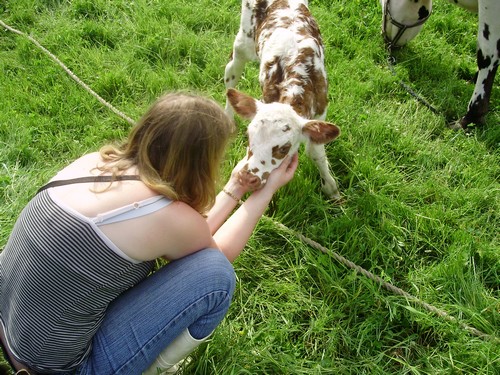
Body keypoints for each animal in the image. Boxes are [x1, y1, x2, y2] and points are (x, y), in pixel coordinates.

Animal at [225, 0, 342, 201]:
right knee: (231, 72)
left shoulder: (320, 111)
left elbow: (315, 152)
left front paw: (331, 189)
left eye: (284, 148)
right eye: (248, 136)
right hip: (243, 41)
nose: (246, 178)